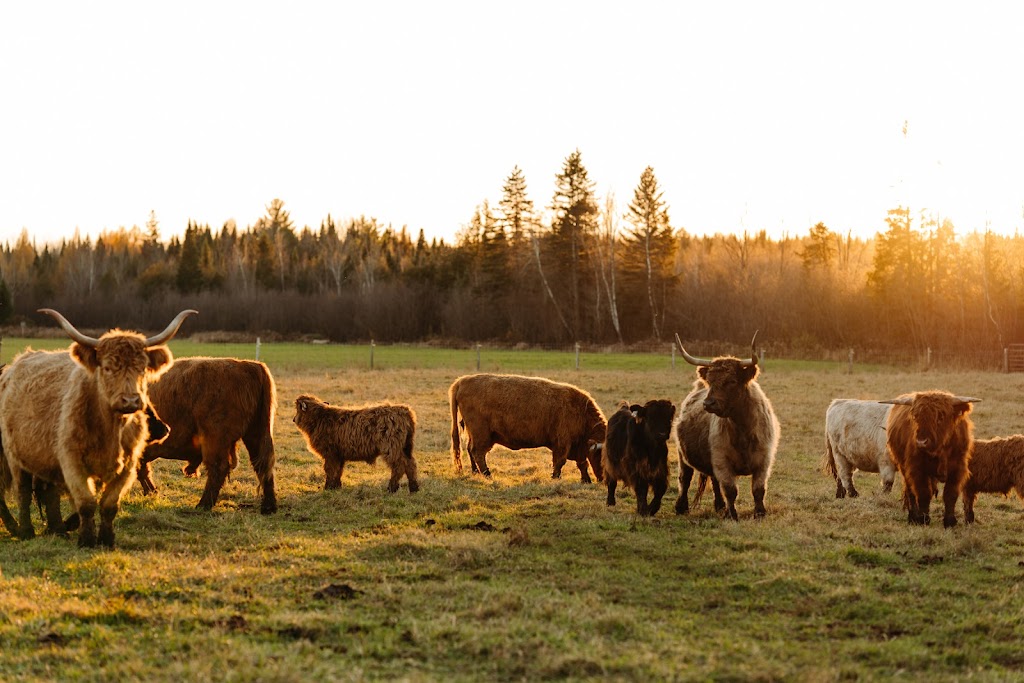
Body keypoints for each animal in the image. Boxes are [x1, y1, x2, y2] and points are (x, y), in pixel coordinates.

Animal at [139, 358, 280, 511]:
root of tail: (251, 365)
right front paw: (151, 492)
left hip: (215, 438)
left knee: (219, 467)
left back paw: (203, 504)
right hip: (256, 433)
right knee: (263, 464)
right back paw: (268, 506)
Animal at [444, 374, 602, 481]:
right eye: (601, 456)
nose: (603, 479)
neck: (581, 411)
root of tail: (462, 381)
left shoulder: (577, 447)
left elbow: (582, 463)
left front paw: (586, 480)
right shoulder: (563, 443)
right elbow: (560, 462)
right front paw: (556, 478)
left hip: (476, 433)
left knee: (470, 449)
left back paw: (475, 472)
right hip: (482, 434)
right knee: (477, 452)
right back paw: (488, 474)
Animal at [667, 333, 778, 520]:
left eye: (731, 381)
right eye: (710, 381)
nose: (708, 403)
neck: (742, 429)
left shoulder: (763, 460)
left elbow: (758, 489)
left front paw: (760, 513)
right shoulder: (722, 460)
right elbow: (731, 490)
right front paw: (731, 515)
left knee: (713, 480)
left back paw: (719, 506)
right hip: (683, 455)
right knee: (685, 478)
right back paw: (681, 507)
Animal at [884, 389, 978, 528]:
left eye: (941, 416)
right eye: (915, 416)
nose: (921, 442)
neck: (941, 450)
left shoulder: (958, 469)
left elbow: (950, 494)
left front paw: (950, 521)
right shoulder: (917, 469)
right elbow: (923, 493)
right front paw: (923, 519)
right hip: (904, 468)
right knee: (911, 492)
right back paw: (912, 517)